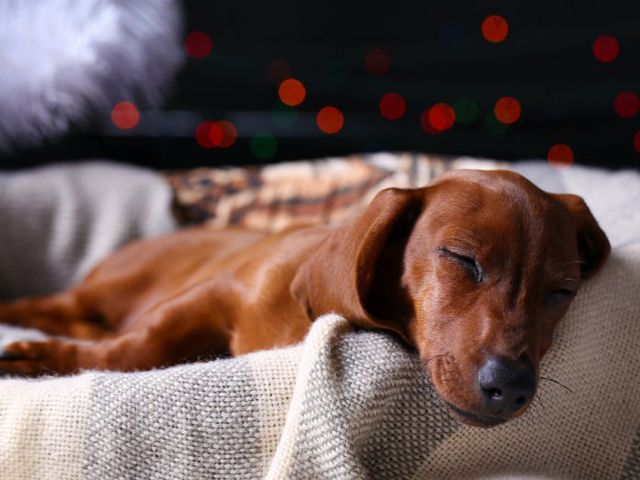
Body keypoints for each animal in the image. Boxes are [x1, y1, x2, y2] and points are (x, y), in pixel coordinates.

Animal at [0, 170, 608, 428]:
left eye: (561, 291)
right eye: (463, 259)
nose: (512, 387)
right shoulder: (209, 297)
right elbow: (136, 348)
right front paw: (45, 359)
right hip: (92, 294)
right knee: (47, 308)